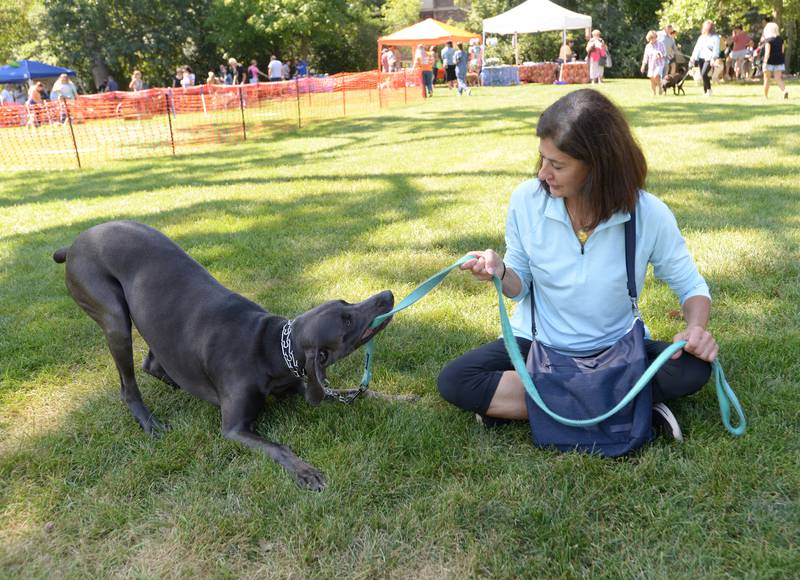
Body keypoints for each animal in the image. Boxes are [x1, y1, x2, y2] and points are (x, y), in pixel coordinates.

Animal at [53, 221, 394, 490]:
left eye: (346, 302)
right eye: (347, 321)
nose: (387, 295)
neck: (270, 346)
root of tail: (74, 244)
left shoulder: (299, 382)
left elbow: (354, 393)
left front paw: (392, 397)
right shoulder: (235, 428)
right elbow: (279, 447)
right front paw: (305, 471)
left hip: (154, 318)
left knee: (153, 361)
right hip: (113, 317)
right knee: (128, 384)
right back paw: (150, 424)